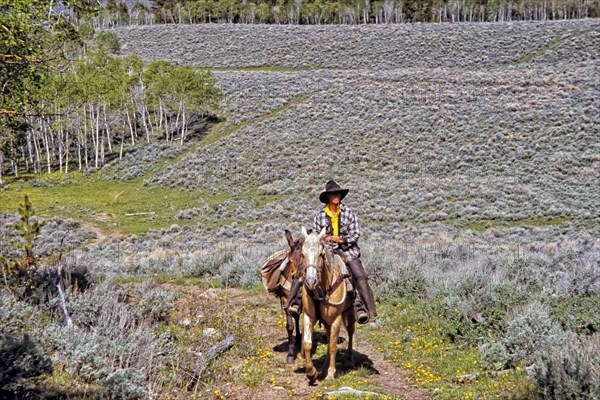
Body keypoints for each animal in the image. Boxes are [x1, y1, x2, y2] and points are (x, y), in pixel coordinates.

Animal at [300, 227, 356, 382]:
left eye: (321, 254)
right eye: (302, 254)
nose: (310, 281)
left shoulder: (336, 318)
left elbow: (332, 345)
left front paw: (331, 373)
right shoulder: (309, 316)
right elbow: (307, 343)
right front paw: (311, 372)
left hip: (350, 312)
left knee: (350, 331)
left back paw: (349, 358)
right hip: (326, 321)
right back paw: (324, 367)